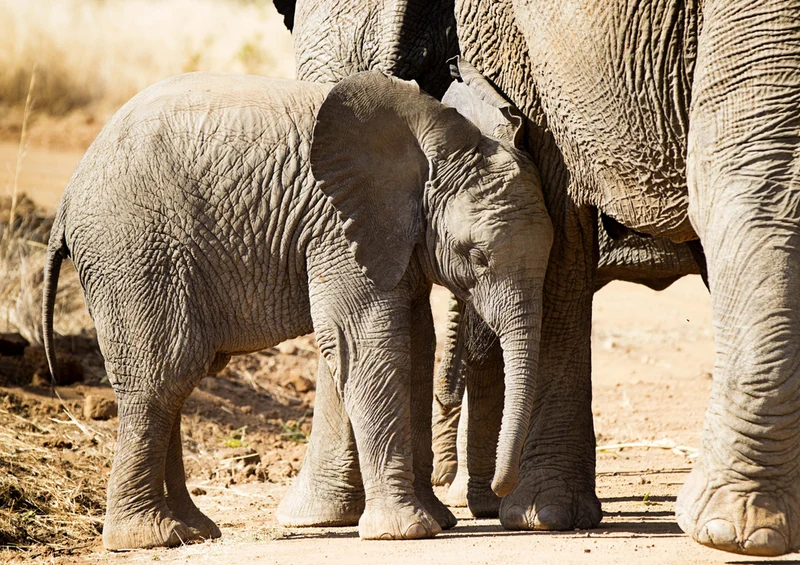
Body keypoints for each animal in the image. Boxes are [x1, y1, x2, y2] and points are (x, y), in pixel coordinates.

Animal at [41, 70, 554, 548]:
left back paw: (193, 532)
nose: (498, 494)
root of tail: (66, 201)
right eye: (477, 256)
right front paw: (408, 532)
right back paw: (149, 538)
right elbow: (368, 342)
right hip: (132, 251)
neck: (431, 149)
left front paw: (436, 521)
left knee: (176, 382)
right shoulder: (336, 226)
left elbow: (415, 345)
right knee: (160, 374)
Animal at [440, 0, 800, 556]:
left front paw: (737, 531)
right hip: (506, 34)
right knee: (558, 206)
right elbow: (759, 167)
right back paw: (537, 514)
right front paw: (734, 535)